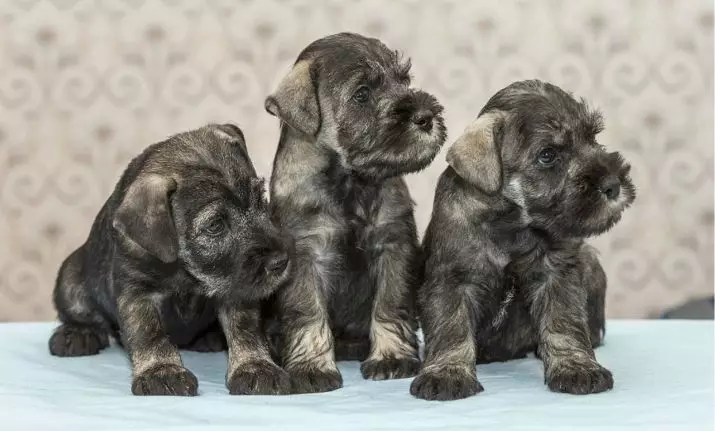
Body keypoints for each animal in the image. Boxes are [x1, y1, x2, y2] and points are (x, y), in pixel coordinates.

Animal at [49, 123, 294, 396]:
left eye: (261, 198)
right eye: (215, 225)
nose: (281, 261)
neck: (184, 270)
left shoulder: (237, 288)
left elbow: (245, 327)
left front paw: (255, 366)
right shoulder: (137, 292)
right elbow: (149, 332)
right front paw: (162, 371)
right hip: (70, 277)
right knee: (81, 313)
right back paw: (77, 334)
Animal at [262, 32, 444, 394]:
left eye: (404, 80)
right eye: (362, 94)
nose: (425, 117)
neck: (350, 181)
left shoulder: (393, 245)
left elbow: (390, 304)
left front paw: (391, 358)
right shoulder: (305, 256)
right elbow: (308, 312)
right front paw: (311, 367)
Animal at [412, 80, 636, 402]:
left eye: (593, 137)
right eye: (547, 155)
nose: (613, 185)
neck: (512, 226)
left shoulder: (556, 275)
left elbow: (564, 323)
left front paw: (577, 367)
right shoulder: (452, 280)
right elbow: (451, 327)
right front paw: (446, 373)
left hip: (588, 260)